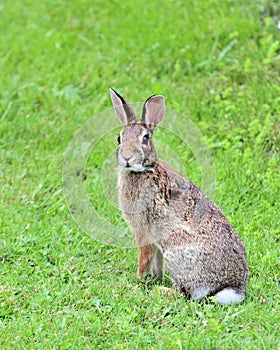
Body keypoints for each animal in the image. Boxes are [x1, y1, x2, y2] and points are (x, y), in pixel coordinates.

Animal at [109, 87, 249, 304]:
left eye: (145, 138)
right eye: (119, 138)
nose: (126, 157)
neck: (143, 171)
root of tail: (230, 287)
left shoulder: (143, 230)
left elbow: (144, 256)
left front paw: (137, 281)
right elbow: (156, 262)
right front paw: (155, 278)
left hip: (174, 244)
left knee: (185, 294)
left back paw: (161, 291)